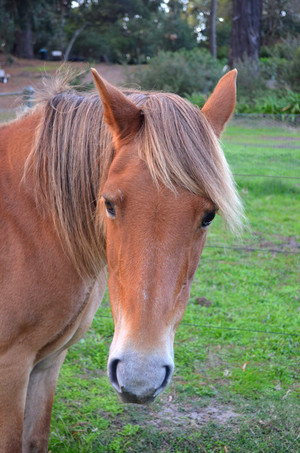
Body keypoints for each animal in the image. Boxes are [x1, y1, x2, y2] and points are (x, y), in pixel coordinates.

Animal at [0, 69, 241, 450]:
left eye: (209, 216)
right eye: (109, 203)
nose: (140, 376)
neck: (27, 219)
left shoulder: (46, 364)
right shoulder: (11, 368)